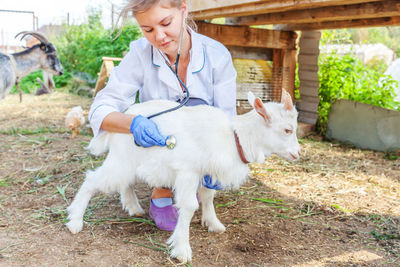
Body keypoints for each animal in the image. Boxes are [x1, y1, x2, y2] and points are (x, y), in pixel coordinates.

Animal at [66, 90, 300, 264]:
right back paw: (75, 221)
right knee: (92, 180)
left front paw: (213, 223)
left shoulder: (206, 172)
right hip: (121, 159)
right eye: (287, 130)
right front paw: (181, 250)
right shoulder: (188, 171)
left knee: (126, 182)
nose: (297, 154)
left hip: (130, 161)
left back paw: (133, 207)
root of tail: (121, 118)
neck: (235, 137)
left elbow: (207, 197)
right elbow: (189, 206)